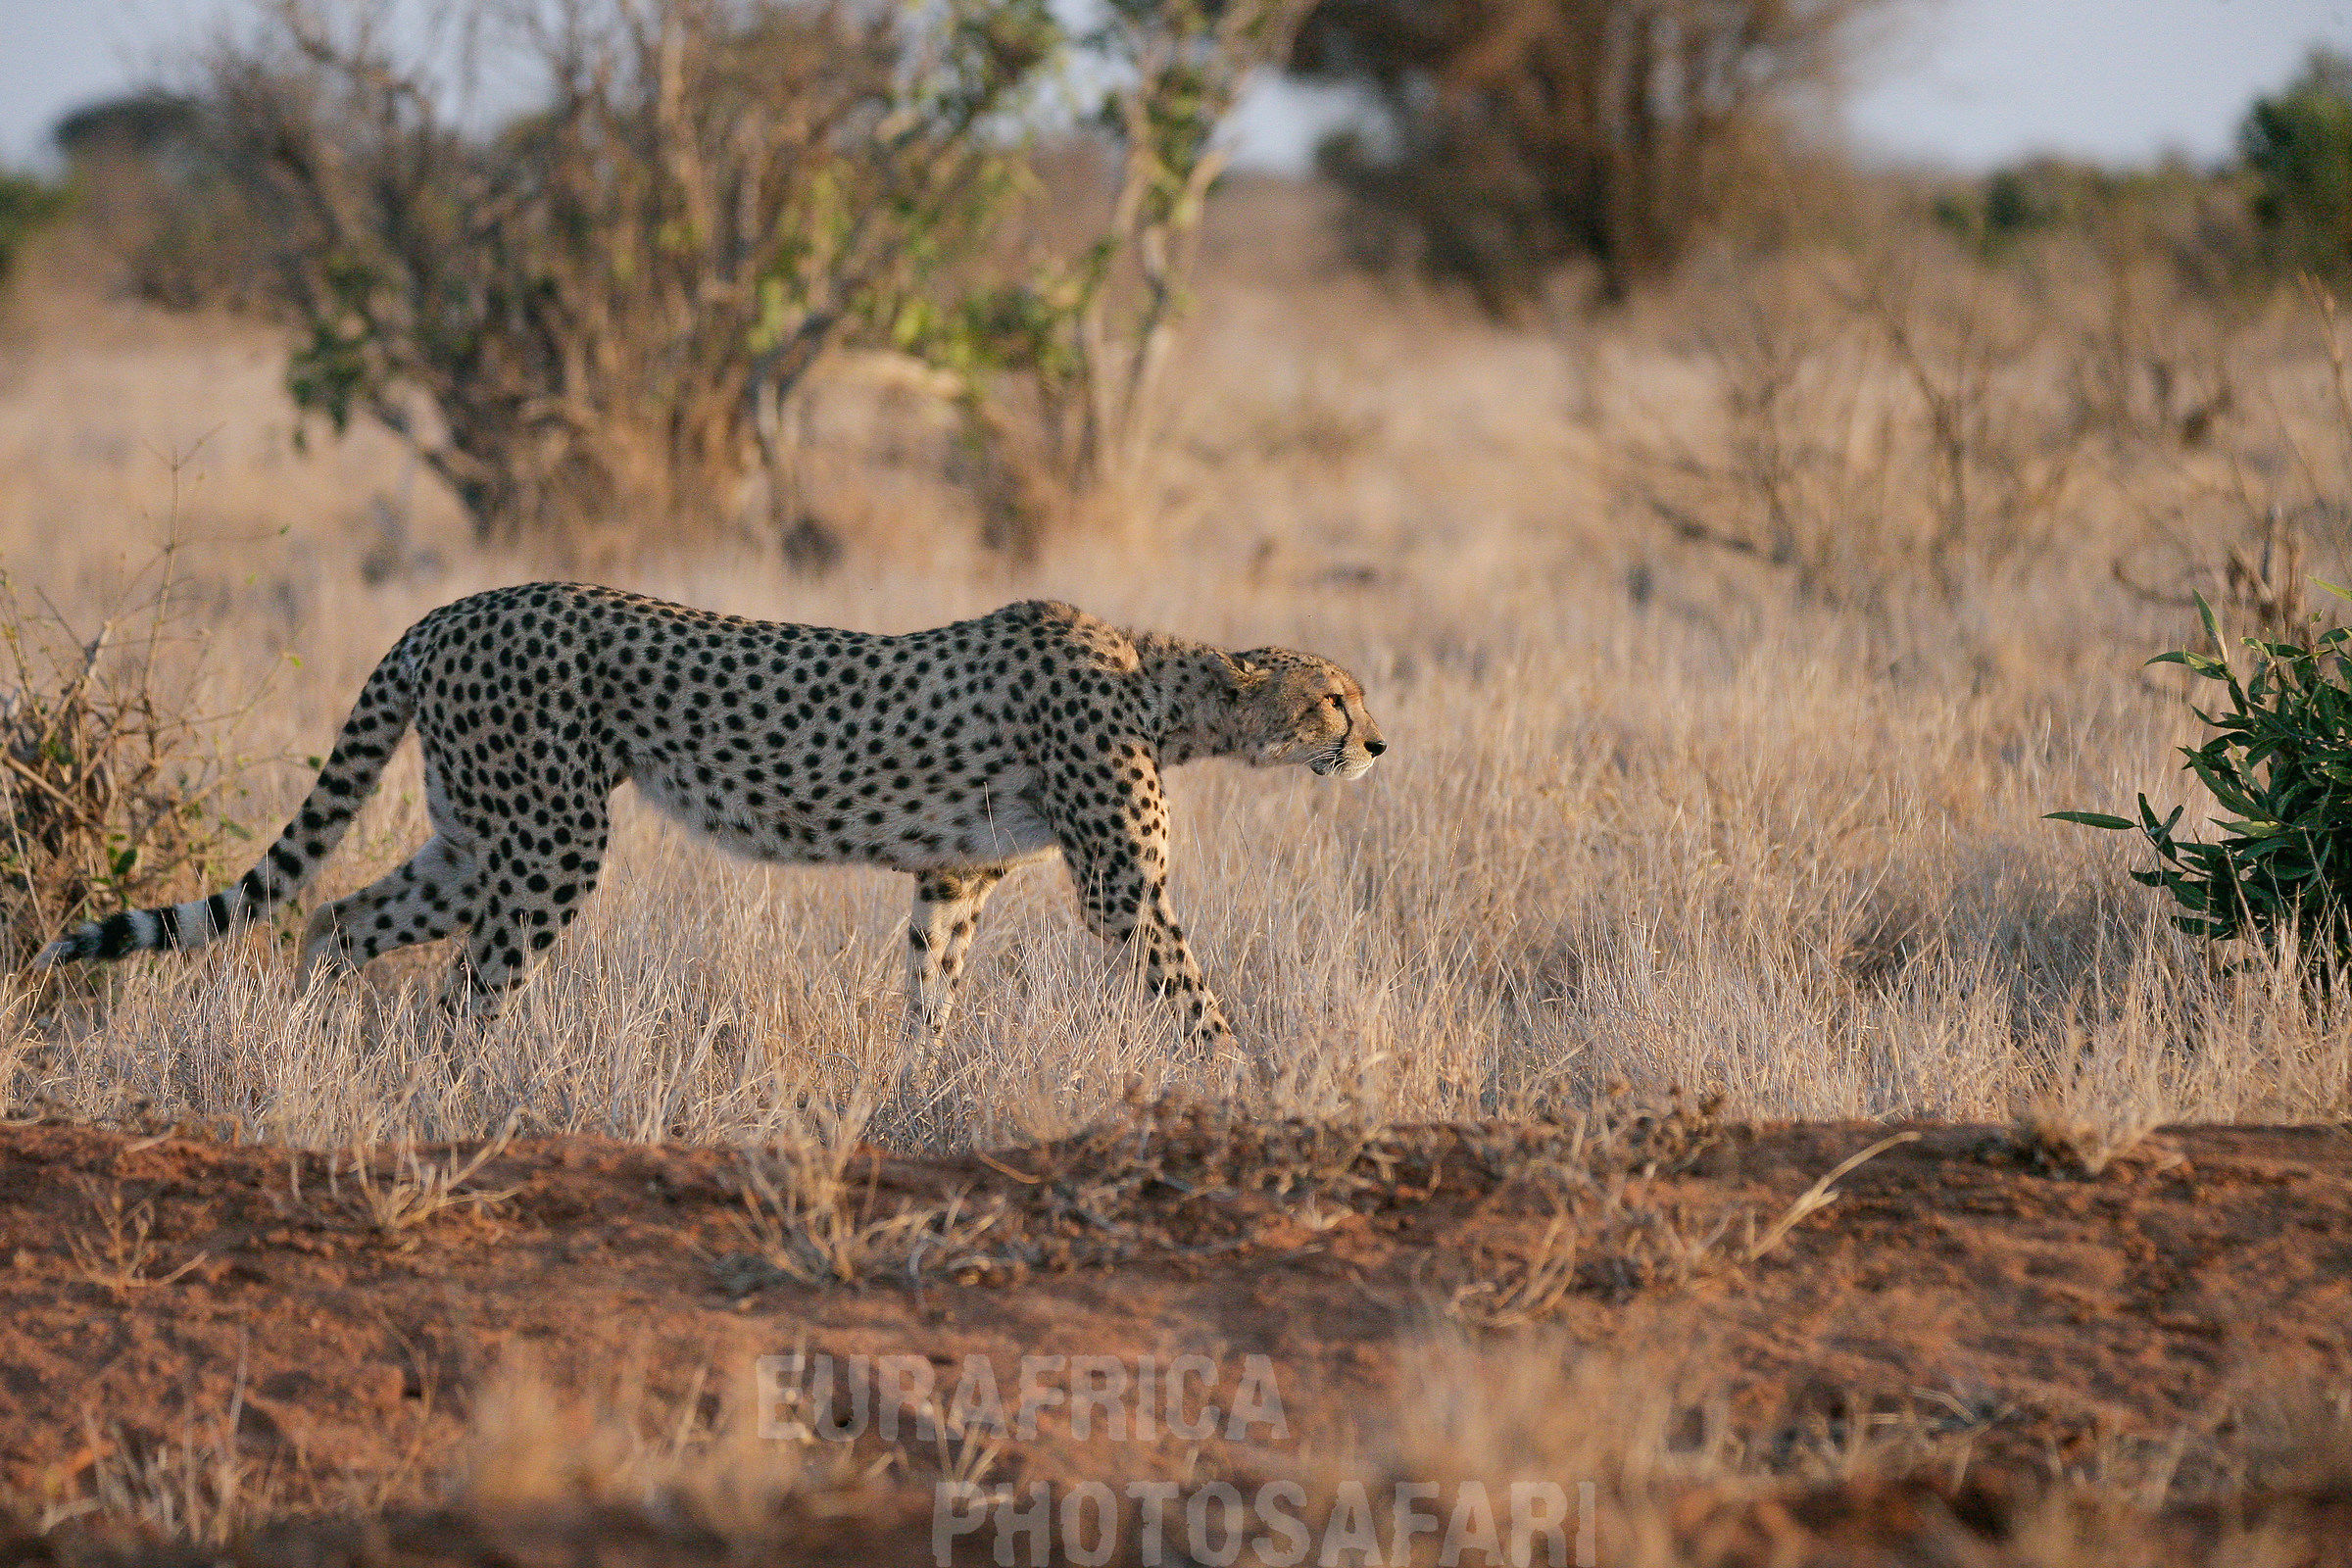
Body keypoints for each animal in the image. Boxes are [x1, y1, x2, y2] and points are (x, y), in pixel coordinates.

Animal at [36, 583, 1386, 1063]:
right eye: (1335, 696)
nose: (1377, 744)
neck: (1161, 683)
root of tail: (456, 606)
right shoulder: (1120, 890)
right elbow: (1194, 997)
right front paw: (1249, 1088)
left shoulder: (955, 878)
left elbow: (932, 985)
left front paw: (922, 1088)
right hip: (552, 840)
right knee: (467, 986)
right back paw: (466, 1092)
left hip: (478, 835)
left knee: (338, 916)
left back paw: (313, 1048)